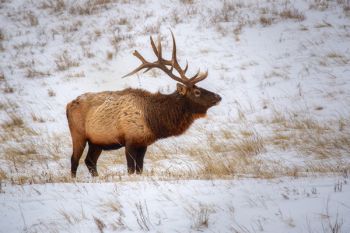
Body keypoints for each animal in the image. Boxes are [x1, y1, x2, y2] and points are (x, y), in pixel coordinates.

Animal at [65, 31, 221, 177]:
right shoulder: (129, 140)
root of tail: (68, 105)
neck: (153, 120)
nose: (218, 97)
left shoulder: (143, 143)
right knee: (75, 159)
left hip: (97, 141)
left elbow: (139, 169)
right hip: (78, 134)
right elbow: (130, 169)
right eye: (197, 92)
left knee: (90, 161)